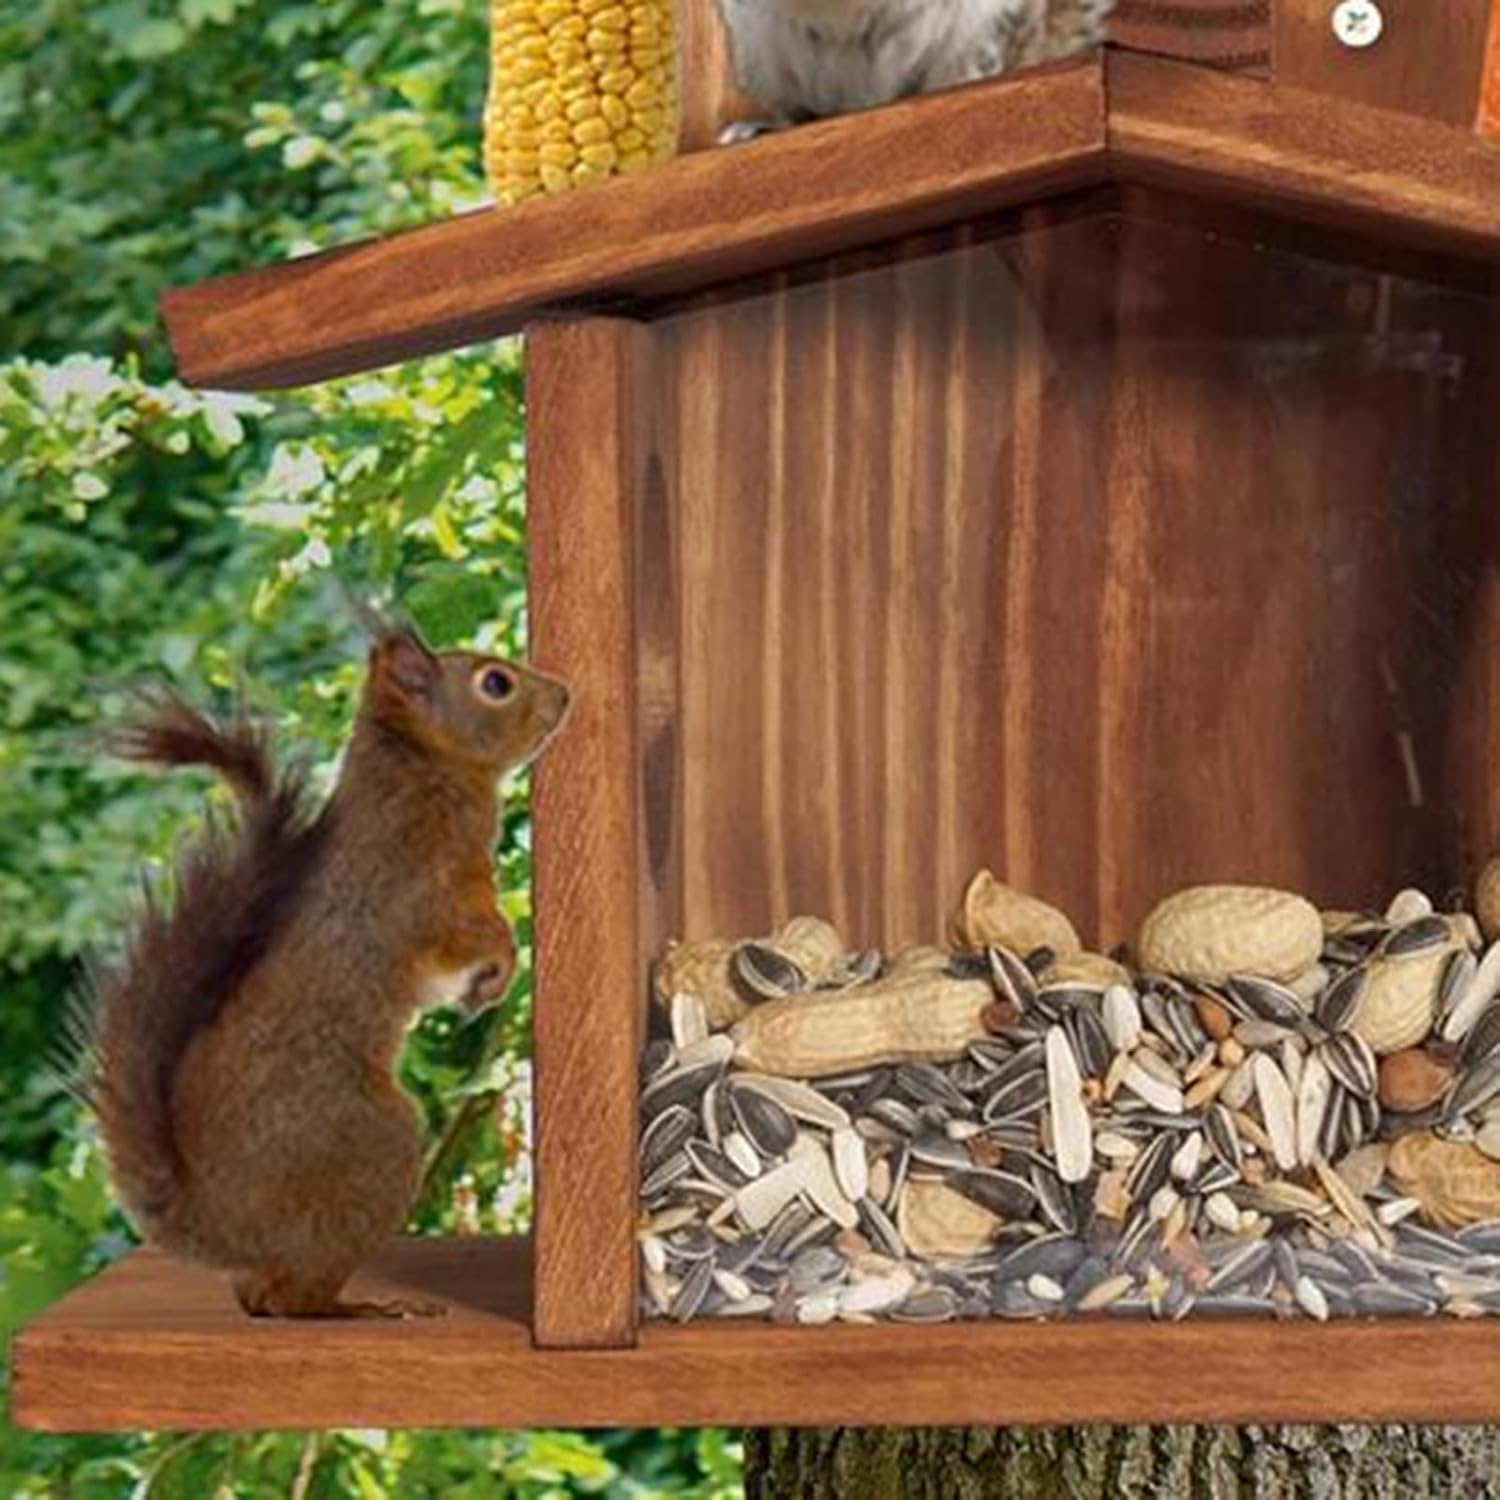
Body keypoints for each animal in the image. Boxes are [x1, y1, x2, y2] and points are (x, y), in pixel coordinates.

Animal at [87, 628, 570, 1317]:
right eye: (495, 683)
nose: (565, 694)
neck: (420, 769)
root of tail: (220, 1223)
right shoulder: (425, 893)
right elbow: (467, 938)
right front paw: (500, 966)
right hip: (370, 1148)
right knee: (294, 1299)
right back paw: (362, 1308)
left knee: (261, 1296)